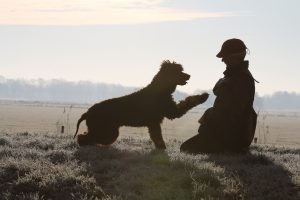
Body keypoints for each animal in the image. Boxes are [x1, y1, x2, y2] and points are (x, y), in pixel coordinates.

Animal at [74, 60, 207, 149]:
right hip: (106, 131)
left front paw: (161, 148)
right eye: (178, 71)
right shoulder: (170, 113)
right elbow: (189, 101)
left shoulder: (154, 122)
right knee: (84, 137)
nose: (189, 75)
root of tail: (87, 113)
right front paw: (203, 96)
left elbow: (156, 136)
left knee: (86, 136)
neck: (159, 90)